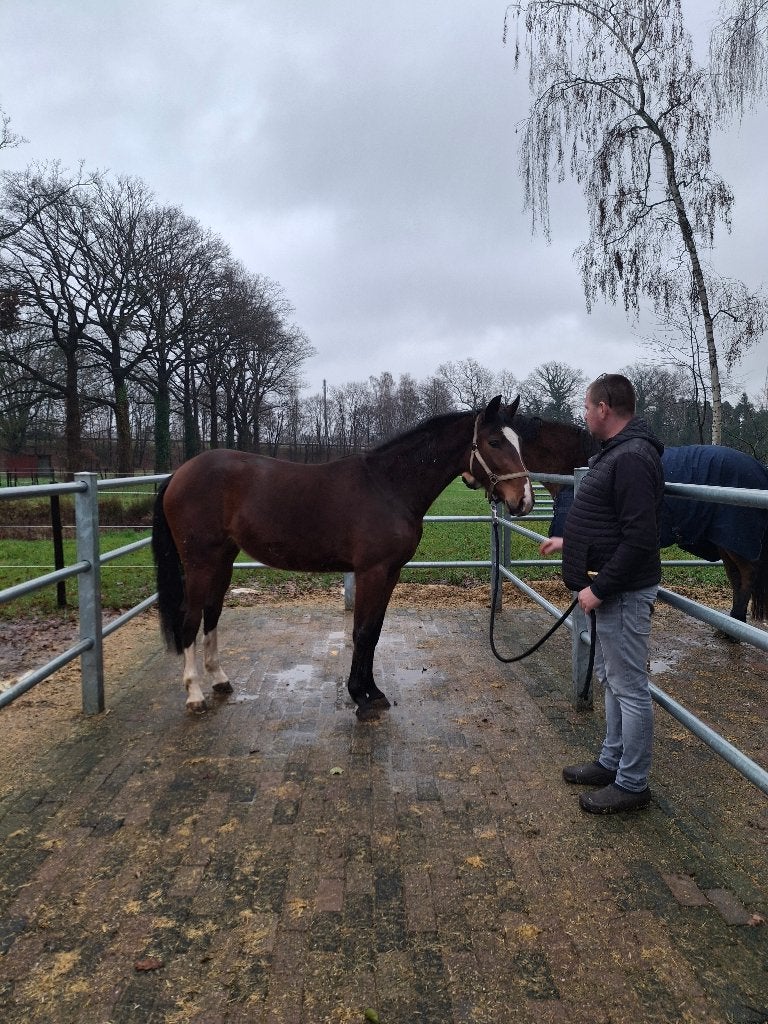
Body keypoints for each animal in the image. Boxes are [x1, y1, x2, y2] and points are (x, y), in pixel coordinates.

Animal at [152, 395, 535, 719]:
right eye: (494, 442)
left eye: (518, 441)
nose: (524, 501)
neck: (389, 486)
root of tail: (179, 474)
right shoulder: (371, 572)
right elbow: (362, 632)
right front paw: (359, 696)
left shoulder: (391, 573)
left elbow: (375, 631)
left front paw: (372, 692)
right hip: (199, 563)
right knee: (190, 618)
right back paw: (195, 695)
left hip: (222, 560)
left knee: (212, 613)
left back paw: (219, 680)